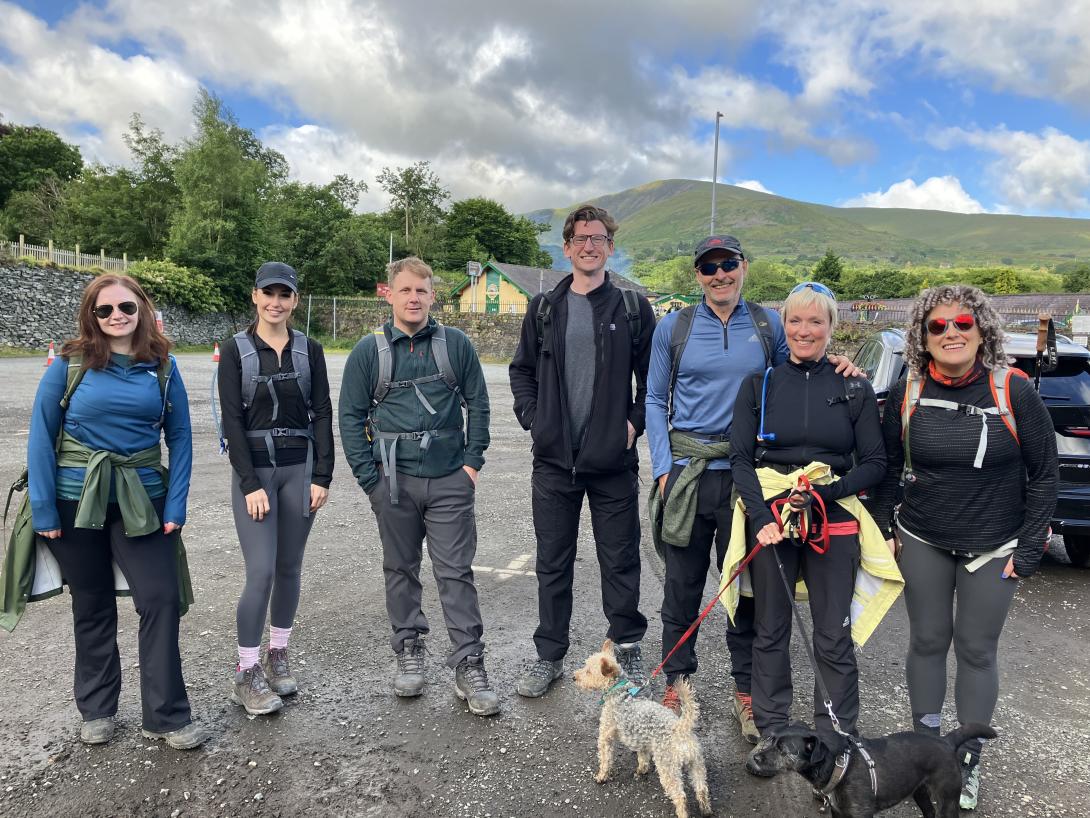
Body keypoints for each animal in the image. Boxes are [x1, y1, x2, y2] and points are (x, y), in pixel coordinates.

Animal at [571, 641, 715, 818]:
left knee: (680, 796)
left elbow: (605, 760)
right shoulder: (642, 742)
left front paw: (601, 776)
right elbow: (643, 759)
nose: (574, 677)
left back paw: (682, 812)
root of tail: (680, 728)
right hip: (697, 764)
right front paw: (641, 770)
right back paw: (706, 810)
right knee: (702, 788)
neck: (619, 691)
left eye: (589, 671)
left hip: (668, 768)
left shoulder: (605, 737)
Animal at [749, 724, 998, 818]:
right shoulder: (838, 813)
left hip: (948, 799)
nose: (755, 758)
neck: (840, 764)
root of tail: (946, 741)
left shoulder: (862, 815)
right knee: (929, 813)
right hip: (920, 792)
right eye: (771, 740)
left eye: (782, 749)